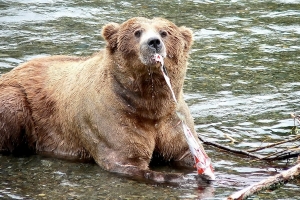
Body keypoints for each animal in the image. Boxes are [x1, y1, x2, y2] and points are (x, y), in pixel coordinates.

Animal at [0, 17, 211, 183]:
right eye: (137, 32)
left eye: (164, 32)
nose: (154, 42)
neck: (148, 103)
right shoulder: (110, 115)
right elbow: (126, 159)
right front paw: (177, 178)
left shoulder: (172, 117)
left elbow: (185, 151)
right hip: (17, 97)